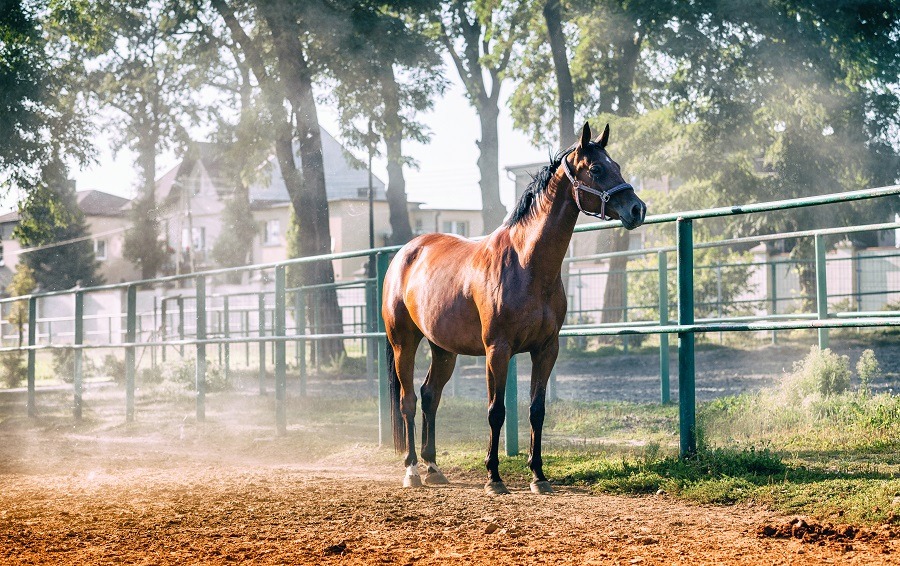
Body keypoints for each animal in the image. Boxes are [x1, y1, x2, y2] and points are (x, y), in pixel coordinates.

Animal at [384, 122, 644, 494]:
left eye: (618, 166)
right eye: (596, 169)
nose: (637, 209)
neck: (527, 265)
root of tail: (406, 253)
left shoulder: (546, 349)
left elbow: (537, 410)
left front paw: (538, 476)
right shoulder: (498, 350)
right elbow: (496, 411)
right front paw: (494, 477)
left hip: (443, 349)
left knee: (430, 395)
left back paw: (433, 467)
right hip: (403, 343)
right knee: (409, 401)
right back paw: (412, 471)